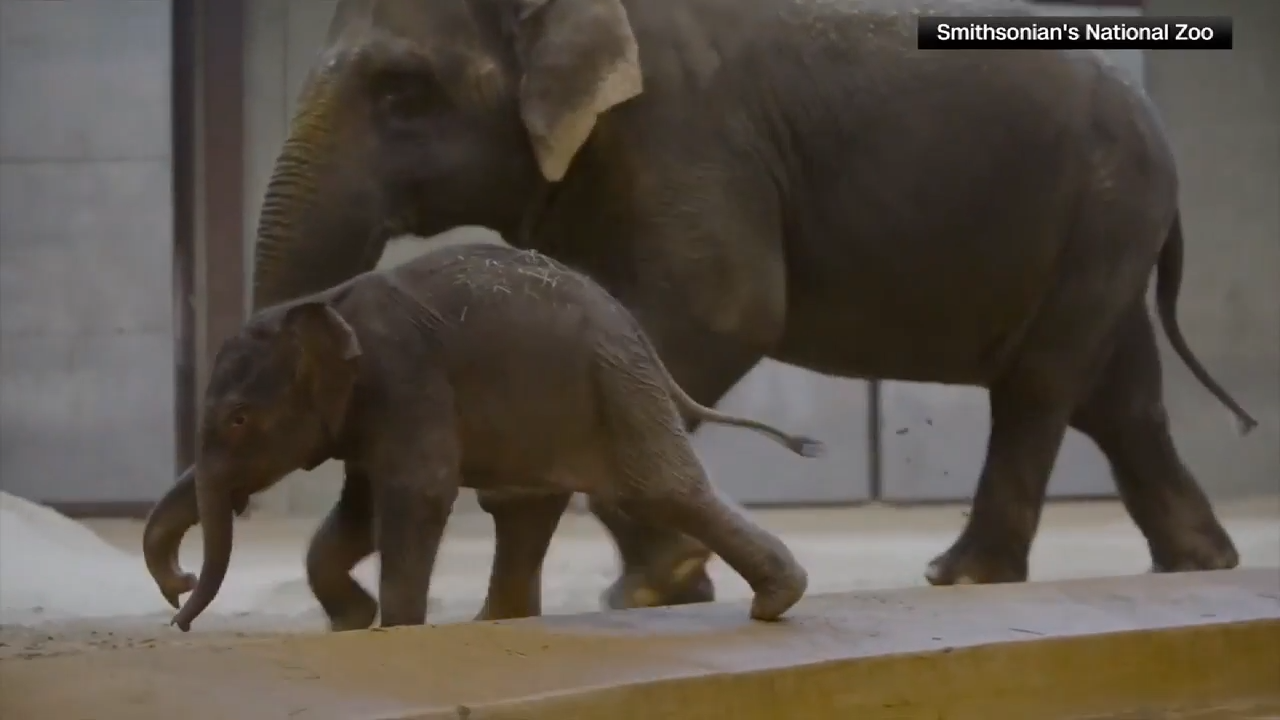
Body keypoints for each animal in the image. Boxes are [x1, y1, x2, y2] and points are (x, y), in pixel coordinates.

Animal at [144, 244, 820, 632]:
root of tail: (637, 331)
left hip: (615, 384)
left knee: (659, 490)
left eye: (237, 420)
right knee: (525, 509)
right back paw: (493, 623)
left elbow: (417, 493)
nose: (180, 599)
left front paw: (394, 631)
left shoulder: (406, 379)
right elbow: (360, 512)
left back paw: (775, 604)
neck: (323, 305)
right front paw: (353, 624)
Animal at [245, 0, 1258, 609]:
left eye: (402, 89)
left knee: (1043, 386)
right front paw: (663, 586)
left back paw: (964, 577)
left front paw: (659, 585)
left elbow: (722, 311)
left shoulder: (686, 131)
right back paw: (1199, 565)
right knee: (1117, 394)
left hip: (1106, 209)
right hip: (1100, 229)